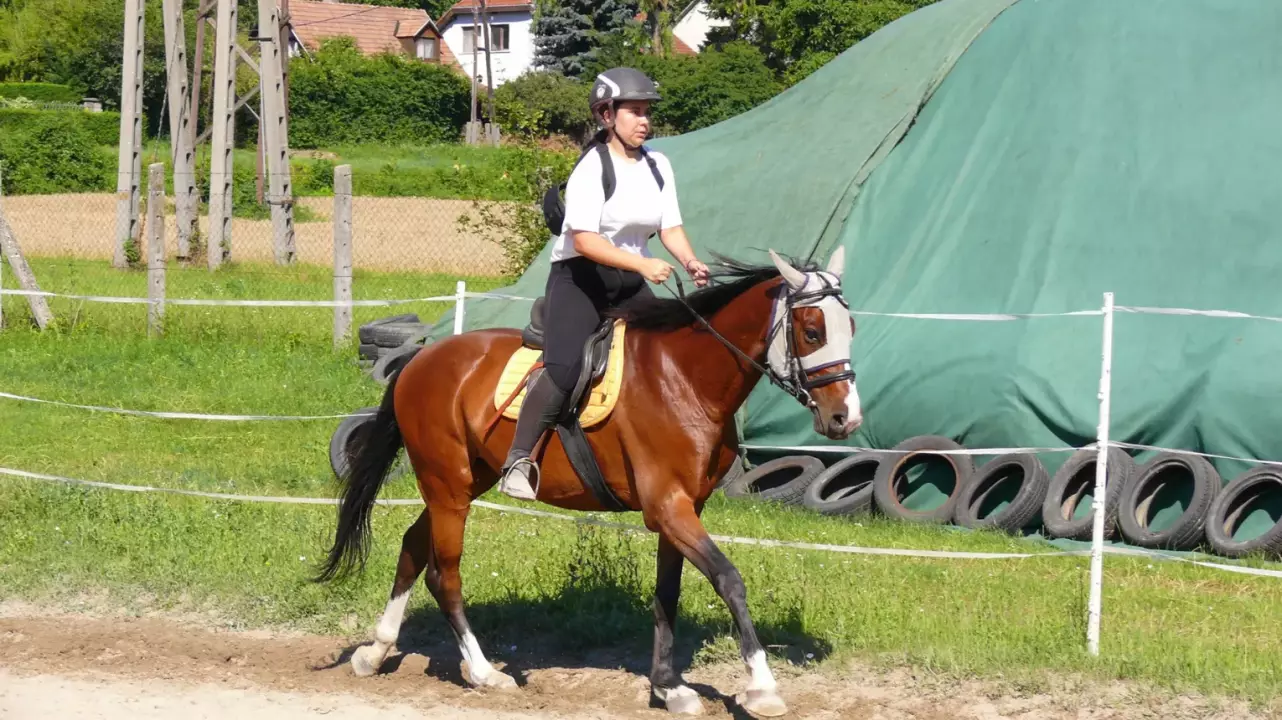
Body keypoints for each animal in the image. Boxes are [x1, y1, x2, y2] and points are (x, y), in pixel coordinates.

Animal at [315, 244, 866, 712]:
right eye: (813, 332)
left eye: (852, 328)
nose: (846, 419)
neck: (686, 378)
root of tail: (420, 359)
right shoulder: (669, 507)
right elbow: (729, 580)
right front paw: (761, 687)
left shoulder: (681, 509)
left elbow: (667, 595)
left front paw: (668, 687)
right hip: (447, 486)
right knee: (443, 574)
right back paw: (484, 671)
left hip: (461, 483)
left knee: (412, 547)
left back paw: (375, 652)